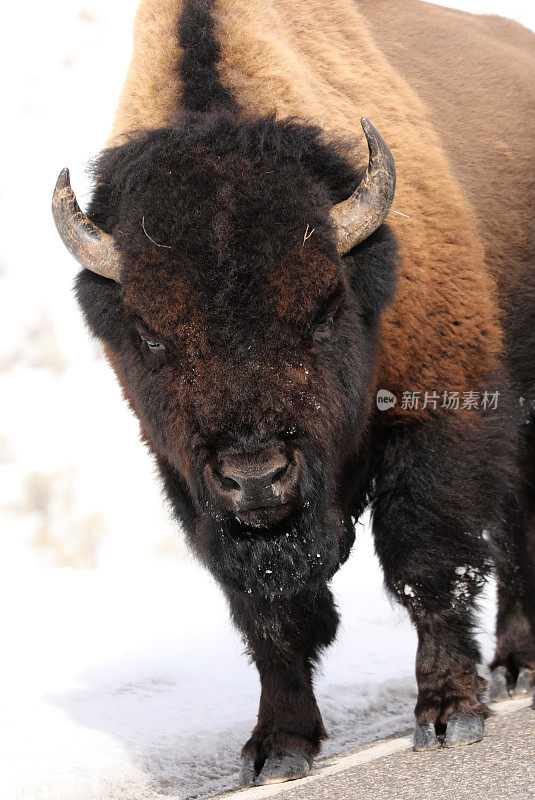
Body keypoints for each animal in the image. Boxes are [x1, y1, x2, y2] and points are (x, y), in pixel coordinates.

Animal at [52, 0, 532, 788]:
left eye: (324, 306)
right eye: (150, 335)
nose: (255, 475)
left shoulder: (441, 416)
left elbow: (427, 567)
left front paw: (446, 713)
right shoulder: (192, 488)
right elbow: (269, 616)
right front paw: (277, 747)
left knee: (517, 524)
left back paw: (515, 667)